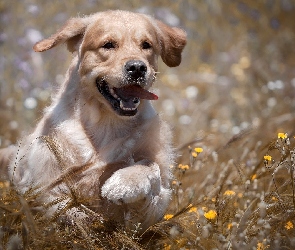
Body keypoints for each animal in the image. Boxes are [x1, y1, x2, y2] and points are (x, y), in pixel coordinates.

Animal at [8, 10, 187, 231]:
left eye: (146, 45)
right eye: (108, 44)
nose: (137, 68)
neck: (107, 123)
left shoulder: (153, 208)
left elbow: (150, 166)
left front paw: (123, 183)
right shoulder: (42, 184)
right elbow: (64, 208)